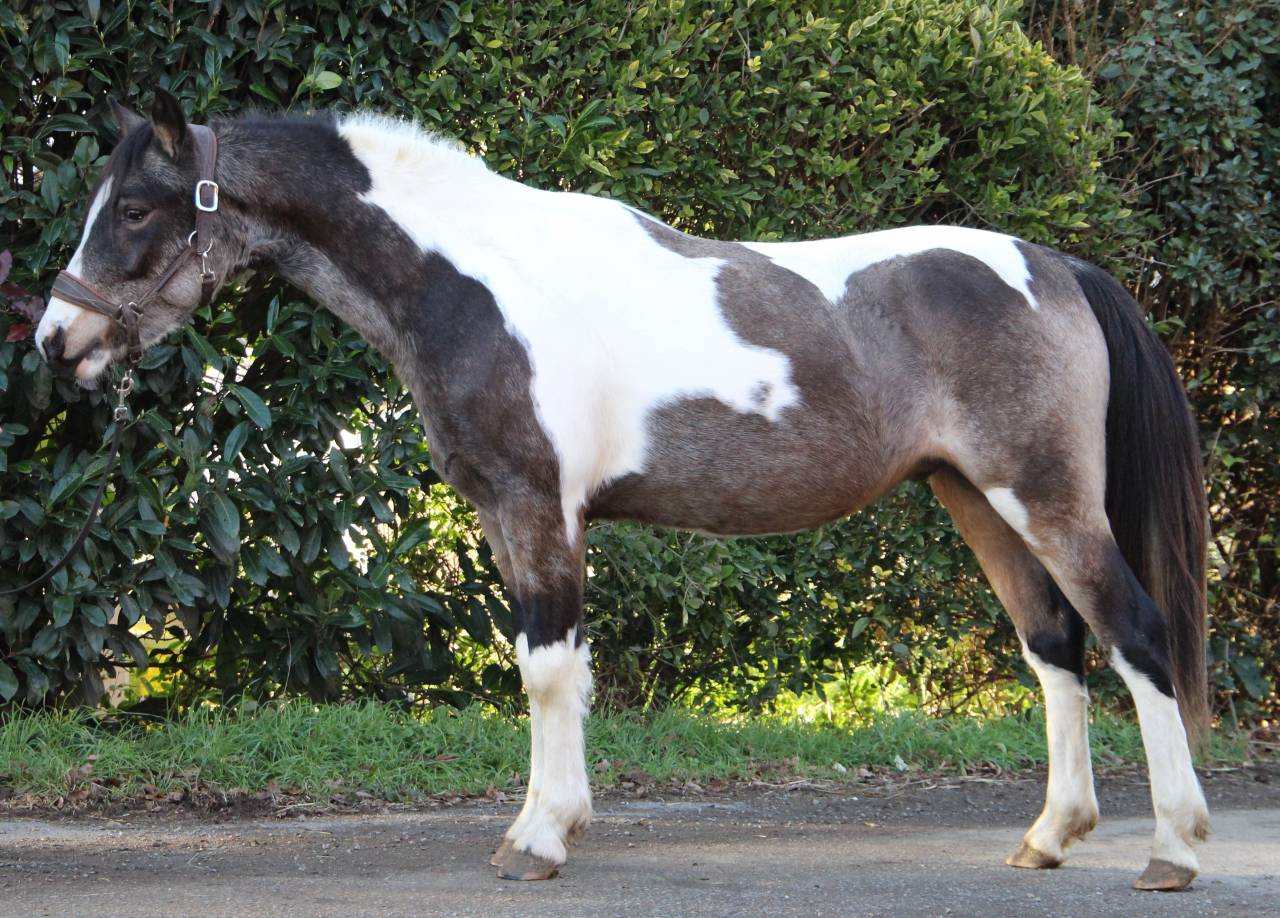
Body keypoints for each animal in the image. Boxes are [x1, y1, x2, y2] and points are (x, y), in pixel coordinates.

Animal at [34, 92, 1211, 890]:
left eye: (134, 208)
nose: (56, 340)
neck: (479, 280)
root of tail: (1053, 265)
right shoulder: (505, 517)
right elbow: (543, 668)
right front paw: (548, 823)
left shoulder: (536, 506)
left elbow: (549, 672)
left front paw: (539, 837)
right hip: (976, 501)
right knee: (1055, 649)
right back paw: (1049, 837)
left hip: (1046, 500)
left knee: (1134, 634)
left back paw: (1174, 848)